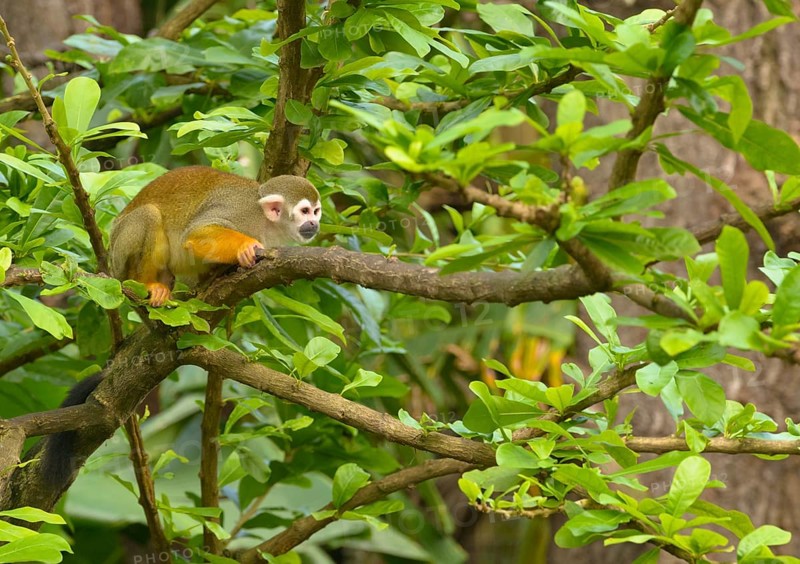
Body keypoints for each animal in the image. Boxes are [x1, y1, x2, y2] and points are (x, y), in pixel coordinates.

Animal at [109, 165, 321, 305]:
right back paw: (145, 283)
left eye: (316, 211)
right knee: (149, 214)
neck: (265, 221)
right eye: (304, 211)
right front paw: (246, 246)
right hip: (120, 253)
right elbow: (196, 233)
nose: (314, 223)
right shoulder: (241, 209)